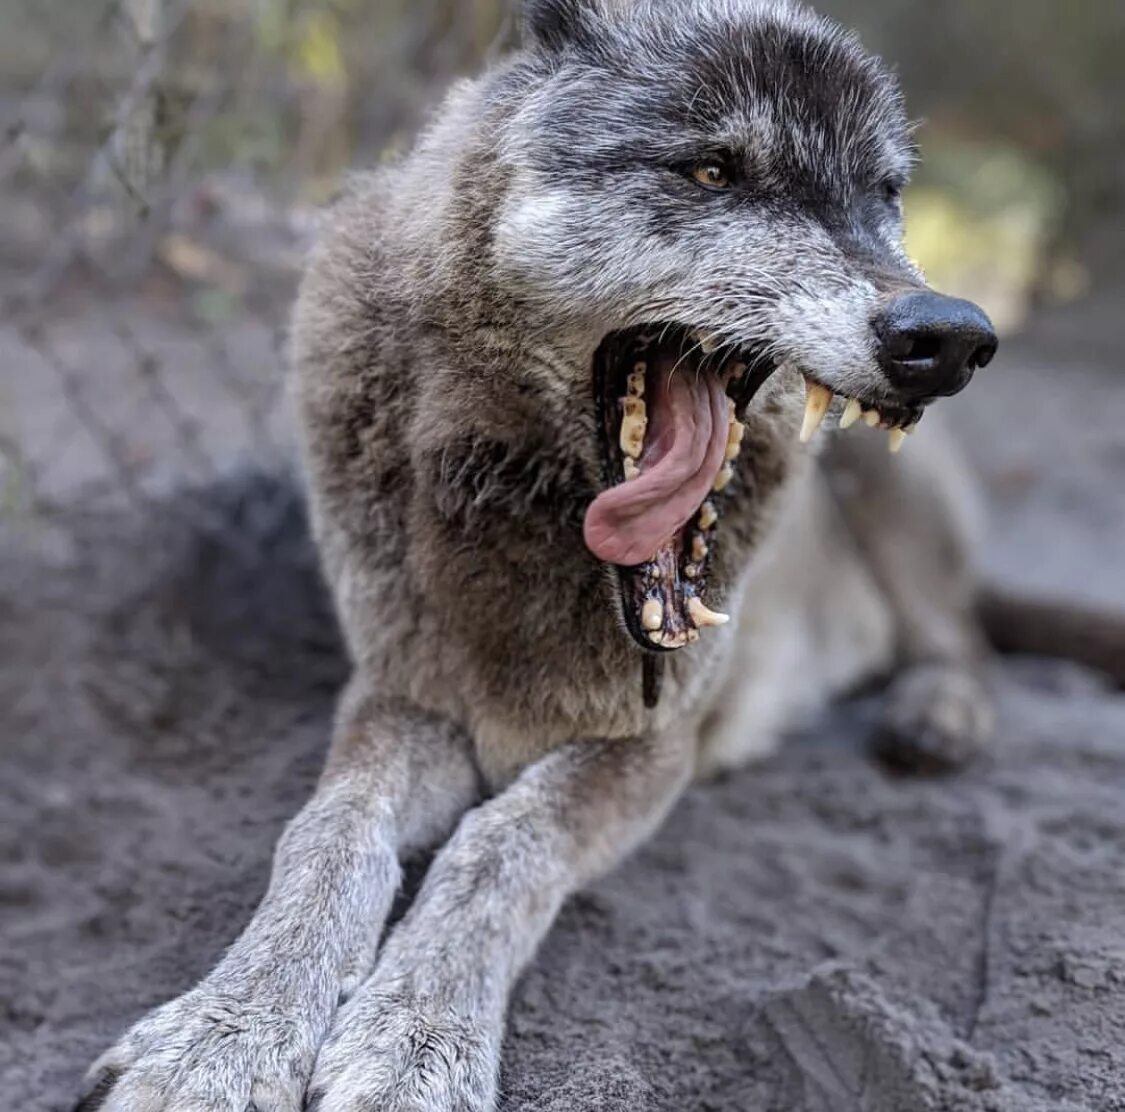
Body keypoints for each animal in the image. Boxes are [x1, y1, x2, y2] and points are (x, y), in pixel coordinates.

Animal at [68, 2, 1107, 1112]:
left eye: (884, 195)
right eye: (713, 171)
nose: (949, 336)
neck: (524, 523)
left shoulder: (650, 747)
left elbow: (499, 841)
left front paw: (411, 1045)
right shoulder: (400, 695)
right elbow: (329, 832)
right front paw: (225, 1033)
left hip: (884, 491)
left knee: (964, 640)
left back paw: (934, 716)